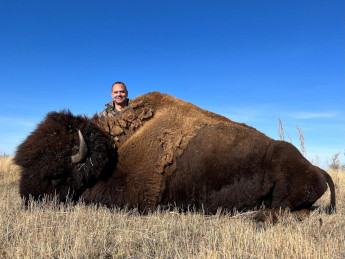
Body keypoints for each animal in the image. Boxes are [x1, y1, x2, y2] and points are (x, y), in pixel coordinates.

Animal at [14, 92, 334, 215]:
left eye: (56, 177)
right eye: (23, 168)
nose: (27, 204)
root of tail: (317, 170)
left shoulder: (136, 198)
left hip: (284, 192)